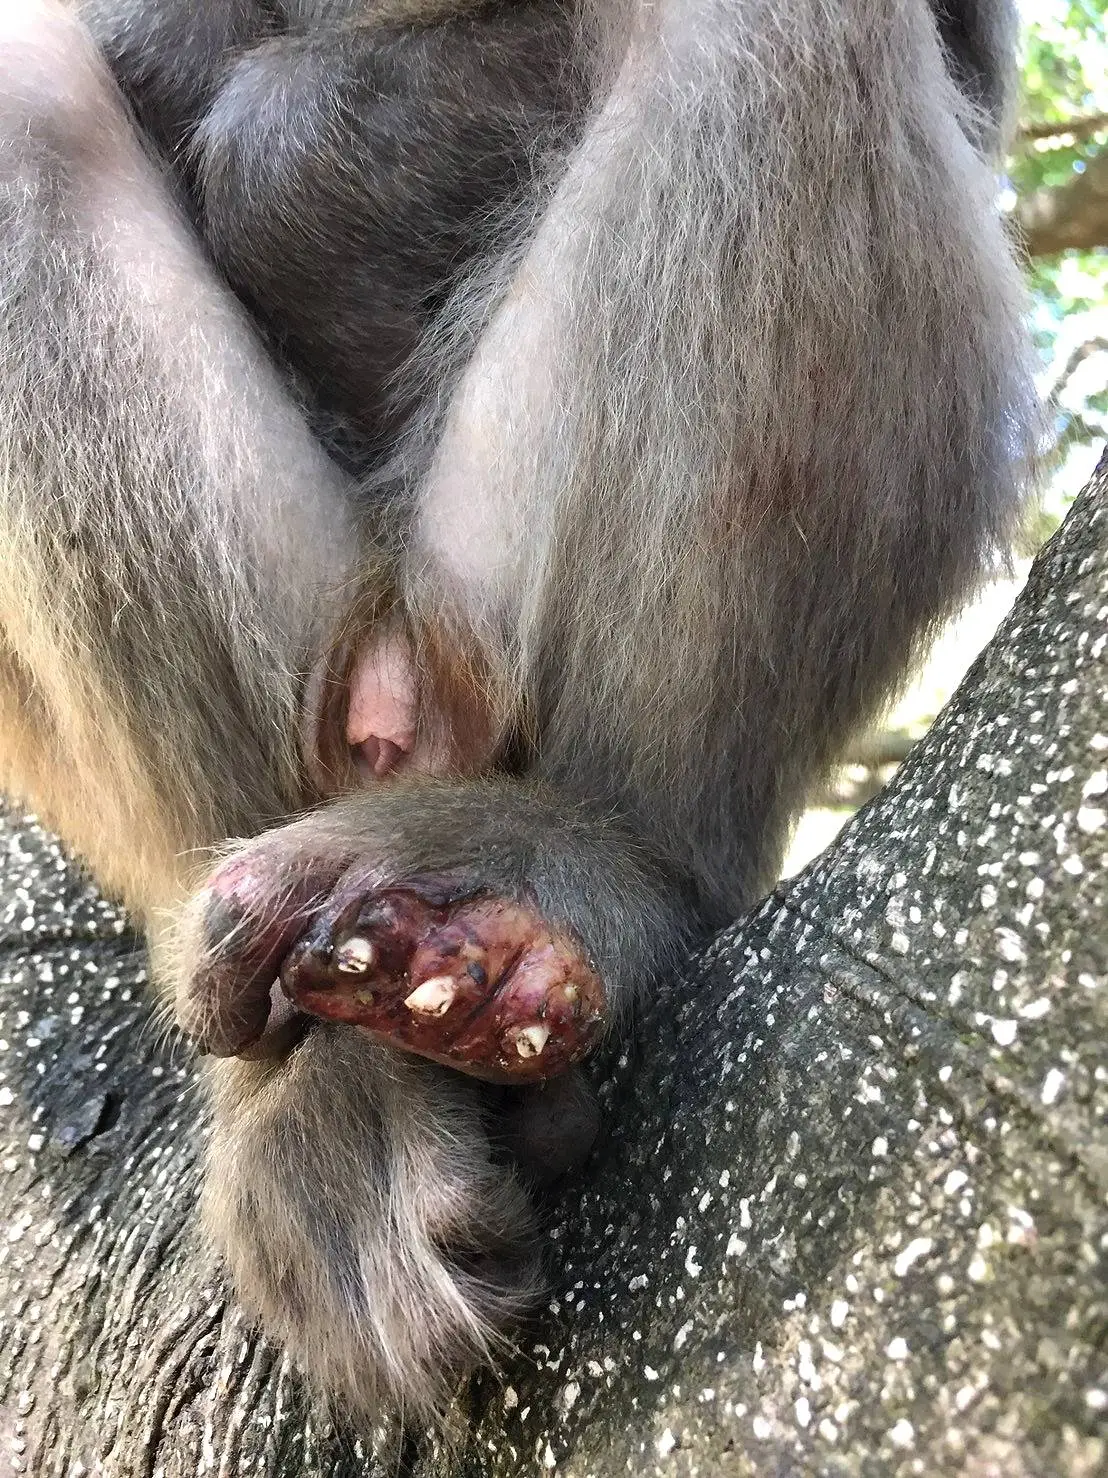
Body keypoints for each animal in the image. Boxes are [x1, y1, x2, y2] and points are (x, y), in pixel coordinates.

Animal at [0, 0, 1038, 1425]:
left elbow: (966, 65)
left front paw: (300, 159)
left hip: (476, 612)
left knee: (777, 31)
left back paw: (591, 865)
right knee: (28, 101)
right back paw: (306, 1067)